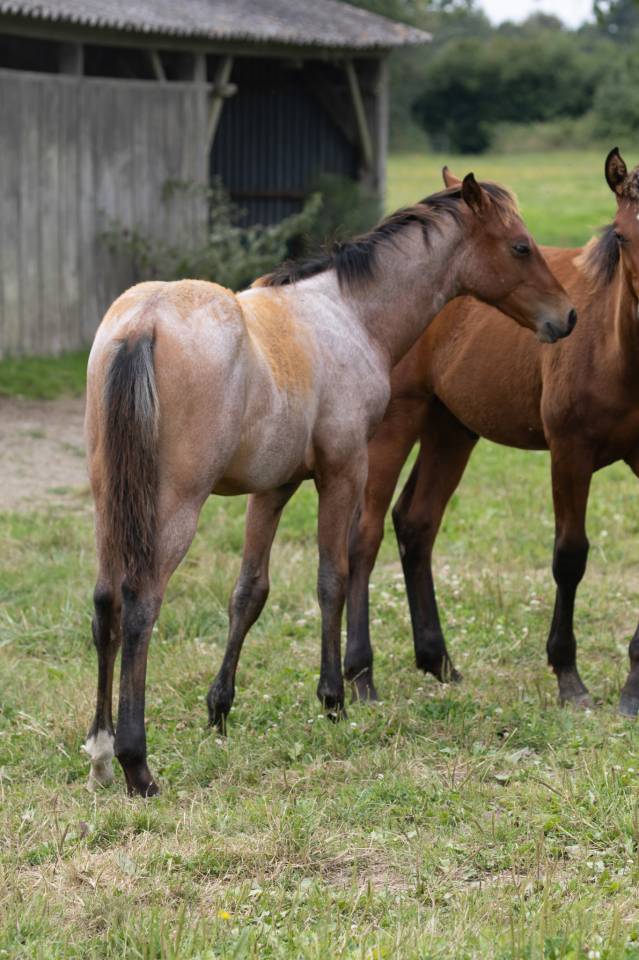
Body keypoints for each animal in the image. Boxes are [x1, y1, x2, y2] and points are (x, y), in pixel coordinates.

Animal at [83, 172, 576, 796]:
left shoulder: (273, 488)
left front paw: (219, 708)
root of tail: (141, 322)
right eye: (520, 247)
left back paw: (100, 752)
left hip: (110, 504)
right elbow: (332, 580)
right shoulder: (344, 471)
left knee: (105, 604)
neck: (349, 315)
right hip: (173, 509)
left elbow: (249, 592)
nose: (567, 316)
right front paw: (335, 698)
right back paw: (135, 762)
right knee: (140, 606)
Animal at [345, 147, 639, 717]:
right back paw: (361, 675)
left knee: (416, 522)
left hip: (451, 427)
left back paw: (437, 661)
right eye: (621, 234)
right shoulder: (569, 452)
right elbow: (570, 556)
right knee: (363, 535)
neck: (618, 350)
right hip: (398, 422)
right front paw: (569, 677)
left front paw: (634, 688)